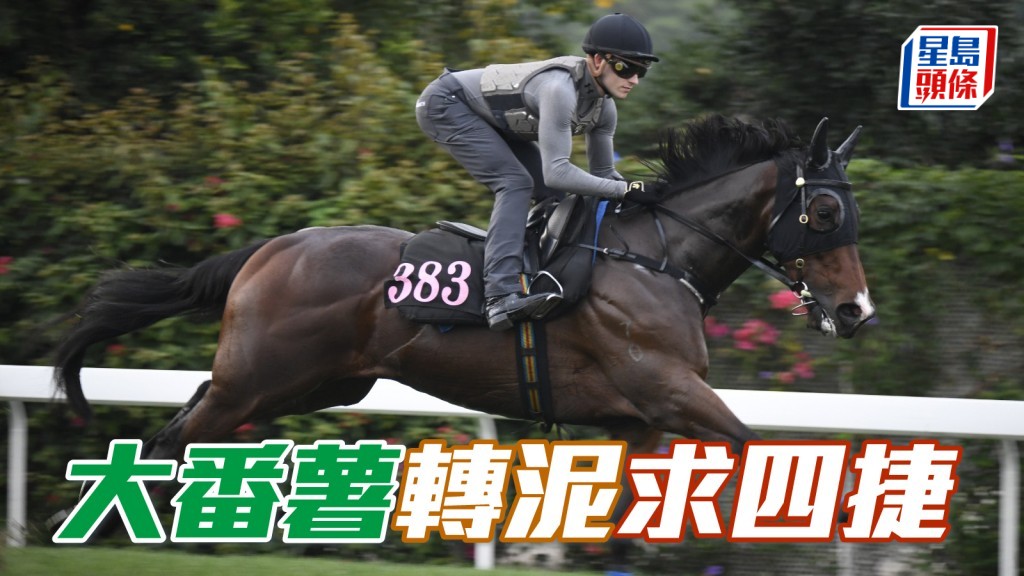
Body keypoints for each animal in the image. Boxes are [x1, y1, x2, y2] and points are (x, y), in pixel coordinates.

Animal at [53, 114, 874, 548]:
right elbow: (751, 443)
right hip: (259, 379)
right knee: (173, 438)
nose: (857, 311)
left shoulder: (633, 418)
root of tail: (266, 249)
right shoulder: (667, 390)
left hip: (310, 383)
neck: (655, 258)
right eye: (824, 211)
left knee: (188, 417)